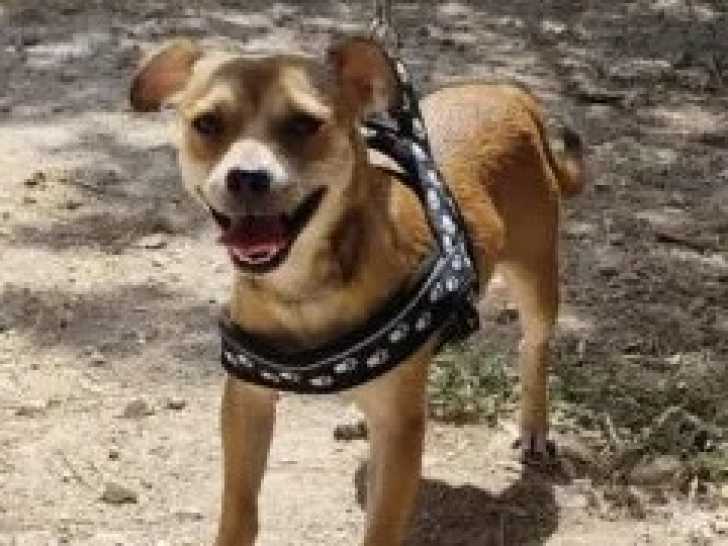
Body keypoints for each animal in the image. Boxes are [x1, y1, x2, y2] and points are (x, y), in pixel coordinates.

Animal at [130, 36, 585, 546]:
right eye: (207, 123)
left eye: (304, 124)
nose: (246, 177)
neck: (304, 286)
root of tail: (507, 91)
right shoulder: (247, 401)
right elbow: (239, 509)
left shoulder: (400, 431)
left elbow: (381, 527)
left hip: (536, 278)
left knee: (534, 347)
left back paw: (534, 425)